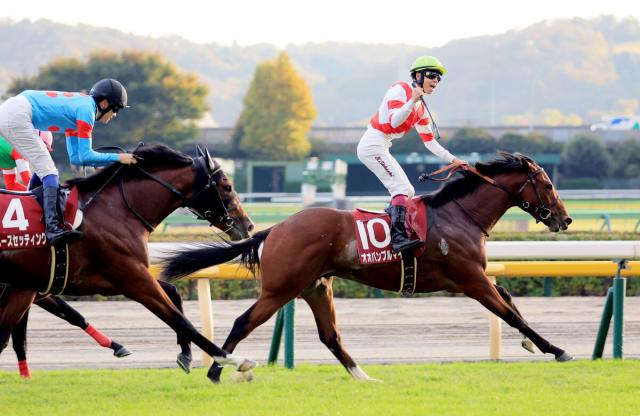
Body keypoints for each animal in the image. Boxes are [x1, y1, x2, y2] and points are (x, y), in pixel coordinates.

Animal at [2, 144, 258, 380]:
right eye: (226, 185)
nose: (248, 225)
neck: (117, 210)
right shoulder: (134, 279)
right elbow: (179, 319)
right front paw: (233, 359)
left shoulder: (118, 280)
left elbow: (173, 293)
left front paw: (185, 354)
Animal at [164, 151, 576, 382]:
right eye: (548, 185)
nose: (565, 219)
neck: (460, 215)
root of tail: (274, 229)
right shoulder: (471, 280)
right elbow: (510, 313)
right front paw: (556, 349)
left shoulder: (472, 279)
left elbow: (509, 301)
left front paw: (535, 343)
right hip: (281, 288)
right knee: (242, 322)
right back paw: (217, 370)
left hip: (316, 287)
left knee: (331, 336)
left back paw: (363, 376)